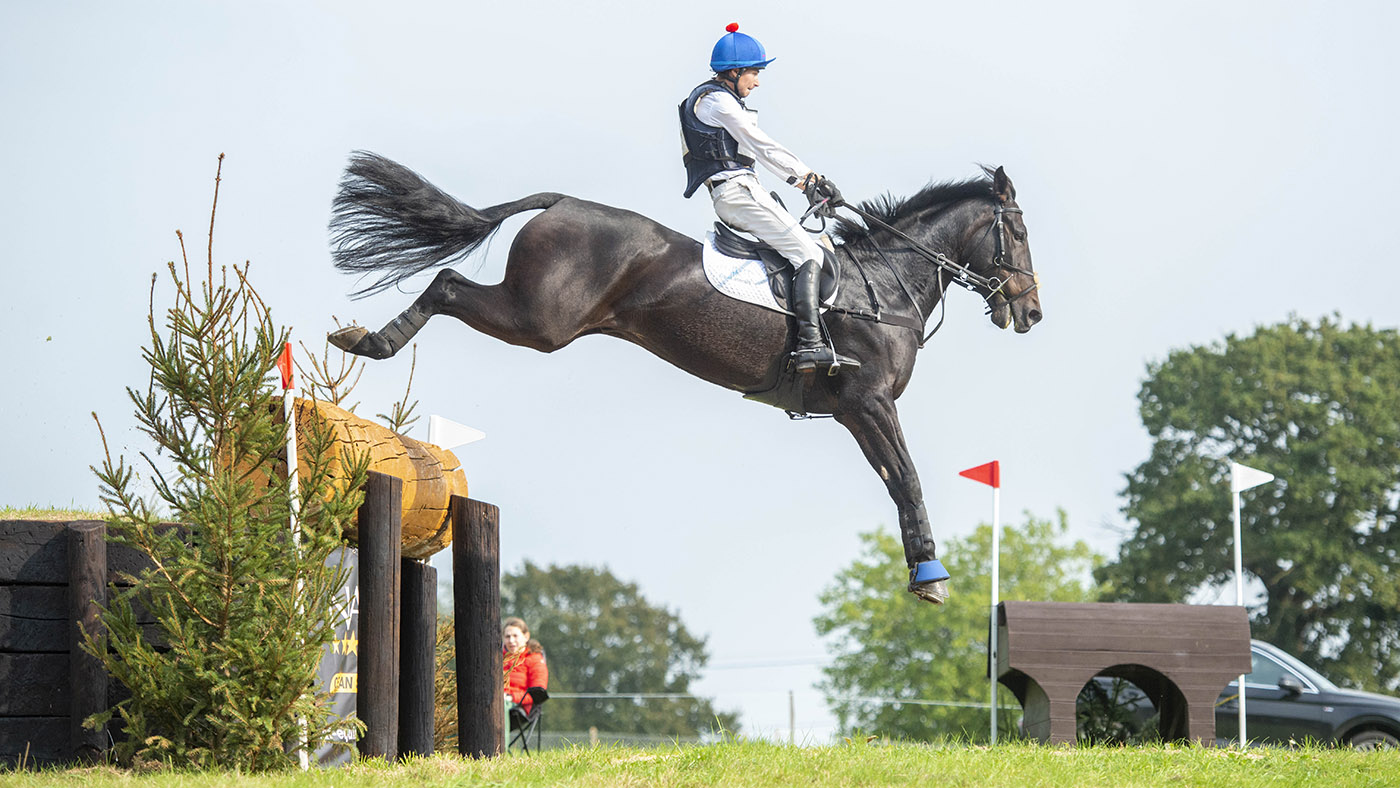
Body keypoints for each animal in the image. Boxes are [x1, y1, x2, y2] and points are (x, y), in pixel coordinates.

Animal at [326, 152, 1042, 604]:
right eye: (1019, 232)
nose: (1031, 312)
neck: (885, 285)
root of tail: (562, 202)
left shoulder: (856, 412)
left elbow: (896, 480)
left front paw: (923, 570)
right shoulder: (869, 404)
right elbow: (909, 479)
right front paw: (931, 576)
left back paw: (366, 338)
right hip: (538, 321)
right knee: (448, 283)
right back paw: (372, 341)